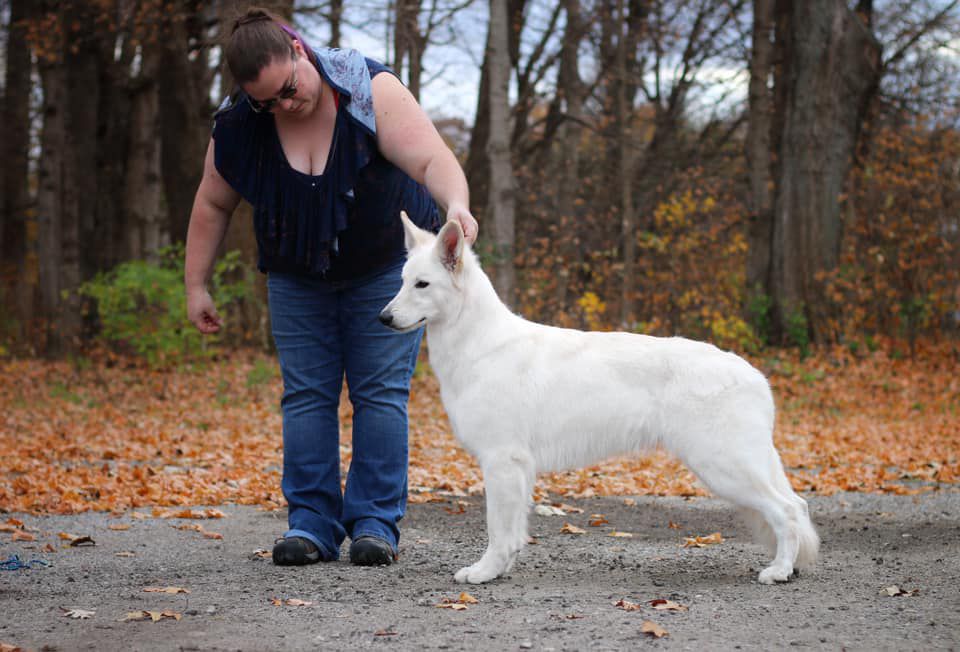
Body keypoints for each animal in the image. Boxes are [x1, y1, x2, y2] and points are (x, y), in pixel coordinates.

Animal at [380, 214, 816, 584]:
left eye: (422, 285)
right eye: (401, 281)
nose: (383, 318)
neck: (479, 342)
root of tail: (756, 377)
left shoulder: (502, 461)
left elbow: (497, 528)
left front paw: (484, 572)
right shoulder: (516, 468)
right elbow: (514, 531)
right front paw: (501, 569)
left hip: (723, 465)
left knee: (788, 510)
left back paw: (778, 570)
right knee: (797, 505)